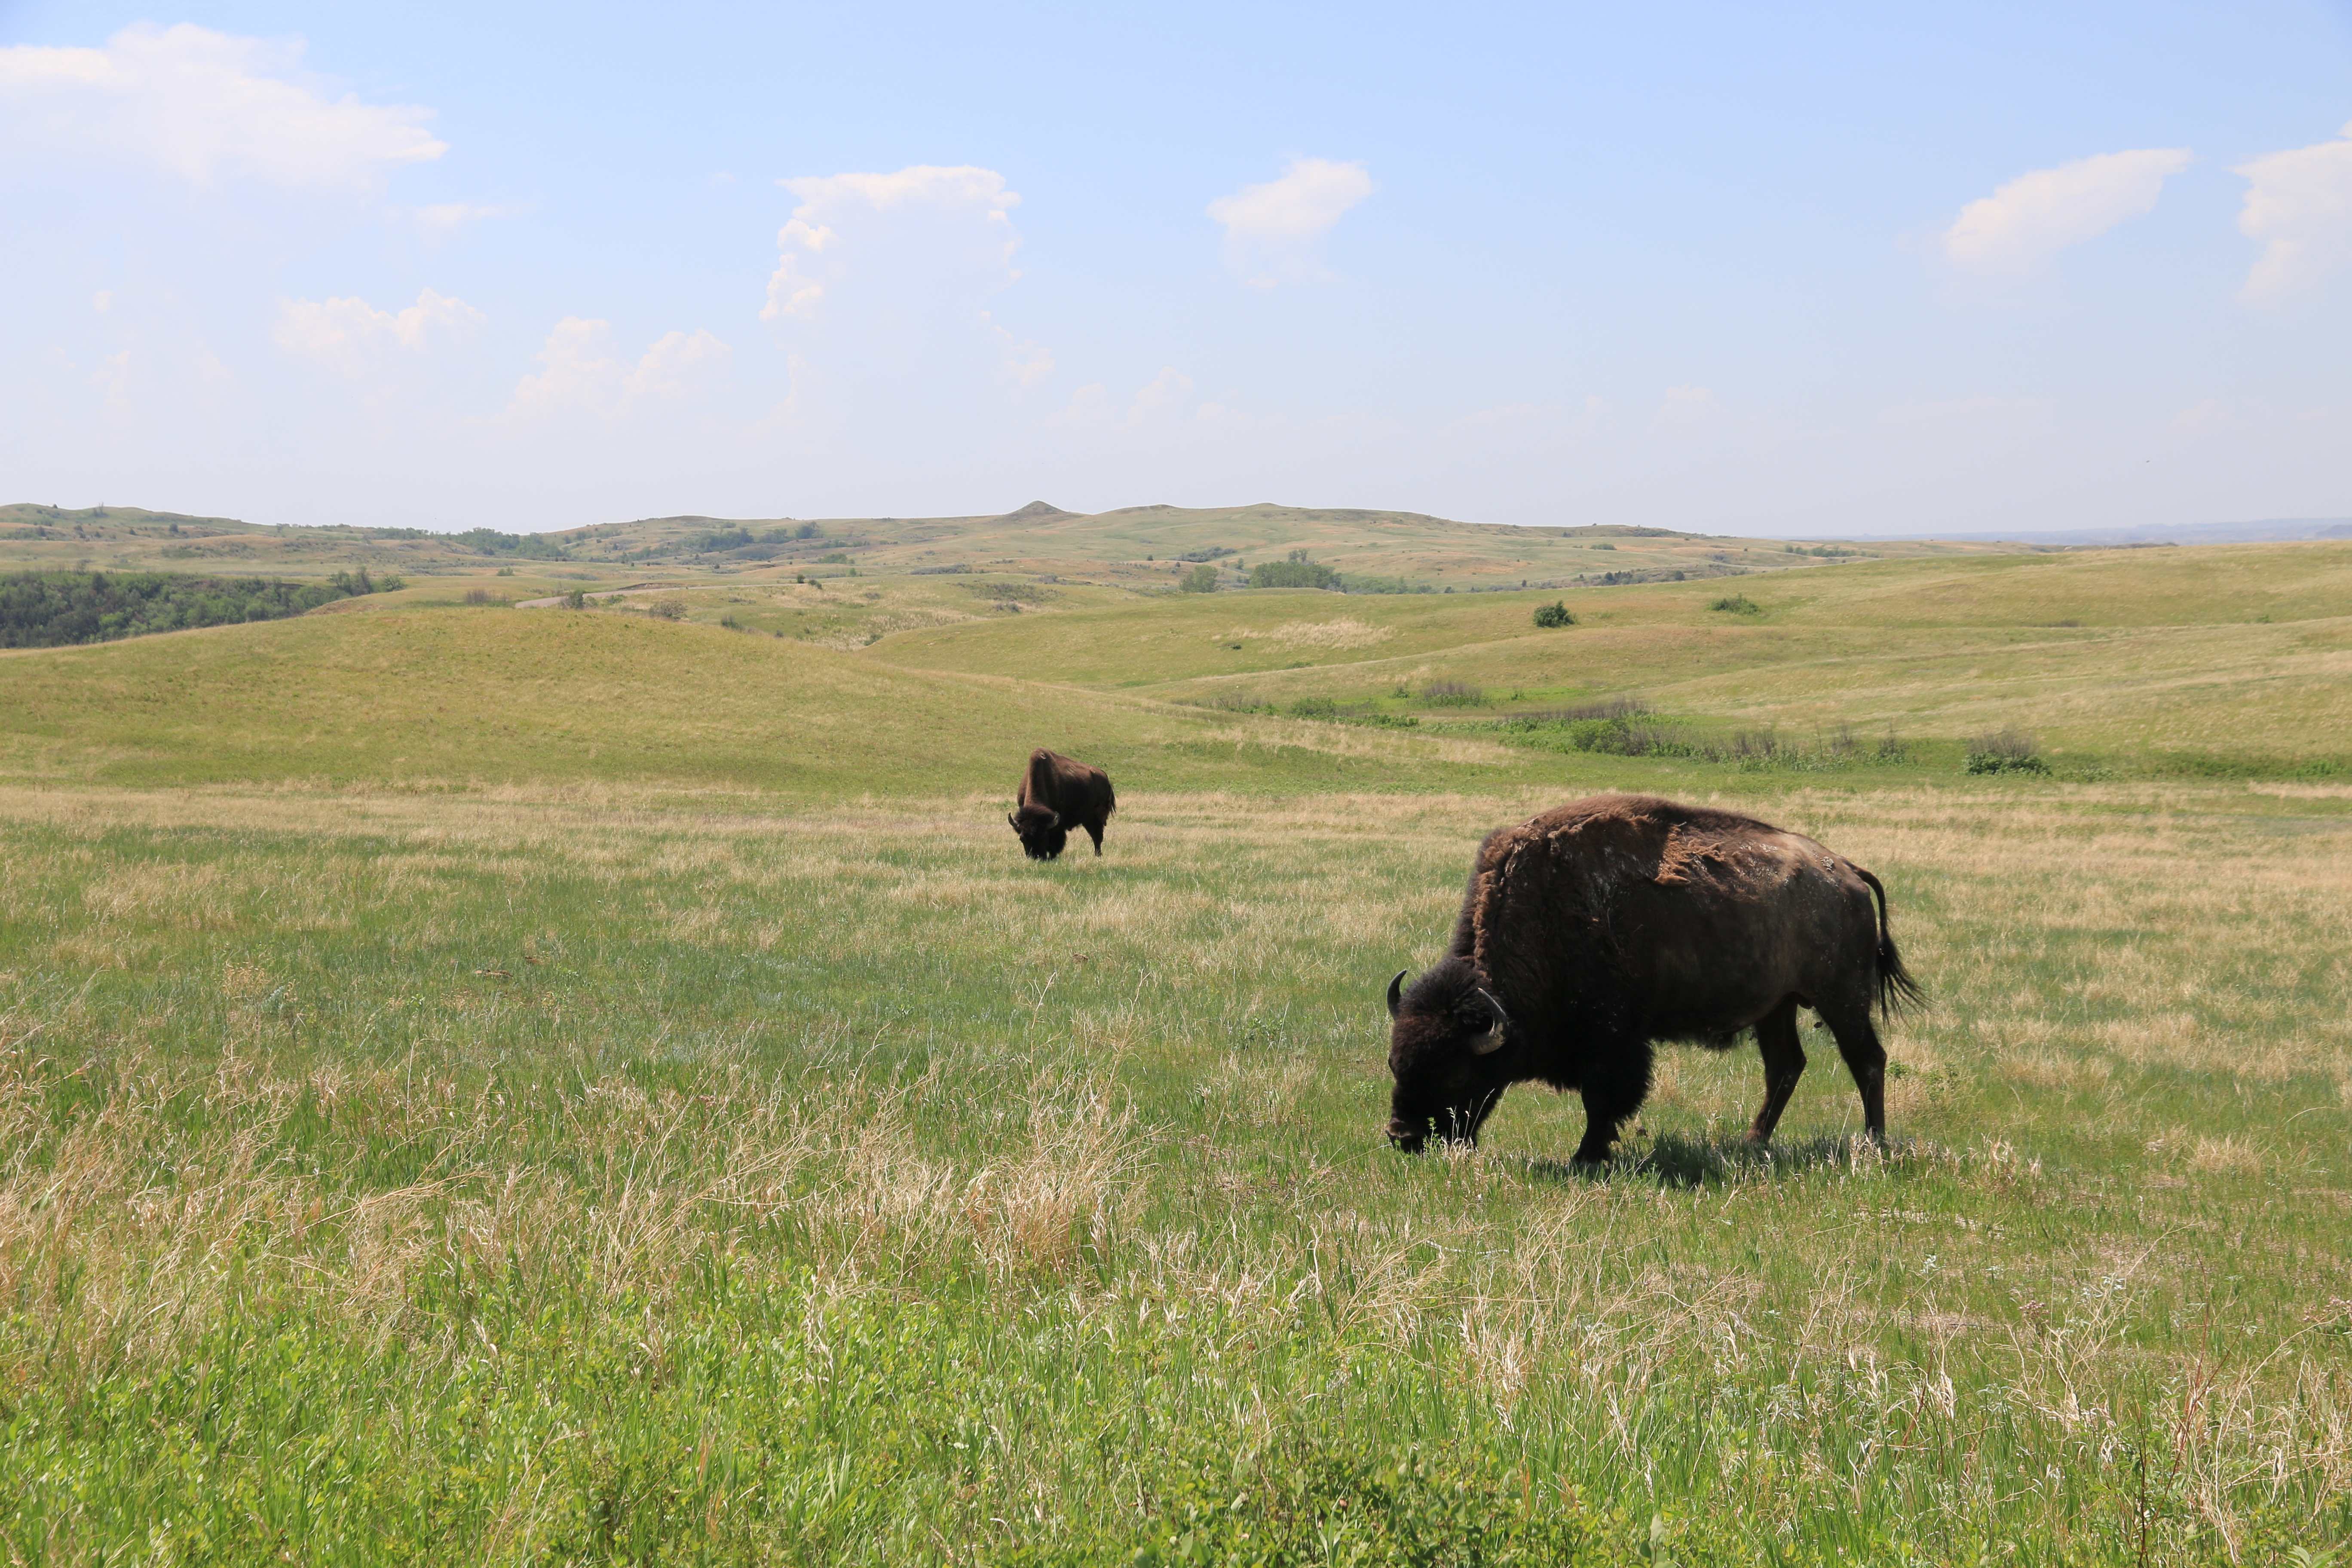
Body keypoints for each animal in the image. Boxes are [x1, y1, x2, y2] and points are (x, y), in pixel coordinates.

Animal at [1007, 747, 1115, 860]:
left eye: (1043, 837)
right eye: (1022, 839)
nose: (1036, 857)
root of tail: (1105, 777)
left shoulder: (1058, 825)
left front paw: (1052, 857)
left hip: (1096, 818)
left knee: (1097, 837)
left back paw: (1098, 856)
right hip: (1088, 820)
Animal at [1383, 799, 1919, 1166]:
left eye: (1456, 1073)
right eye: (1395, 1063)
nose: (1401, 1136)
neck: (1543, 915)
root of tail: (1847, 872)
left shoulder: (1613, 1041)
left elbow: (1604, 1100)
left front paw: (1586, 1156)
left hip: (1842, 999)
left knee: (1867, 1060)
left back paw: (1873, 1144)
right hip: (1777, 1006)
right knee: (1785, 1067)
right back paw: (1752, 1142)